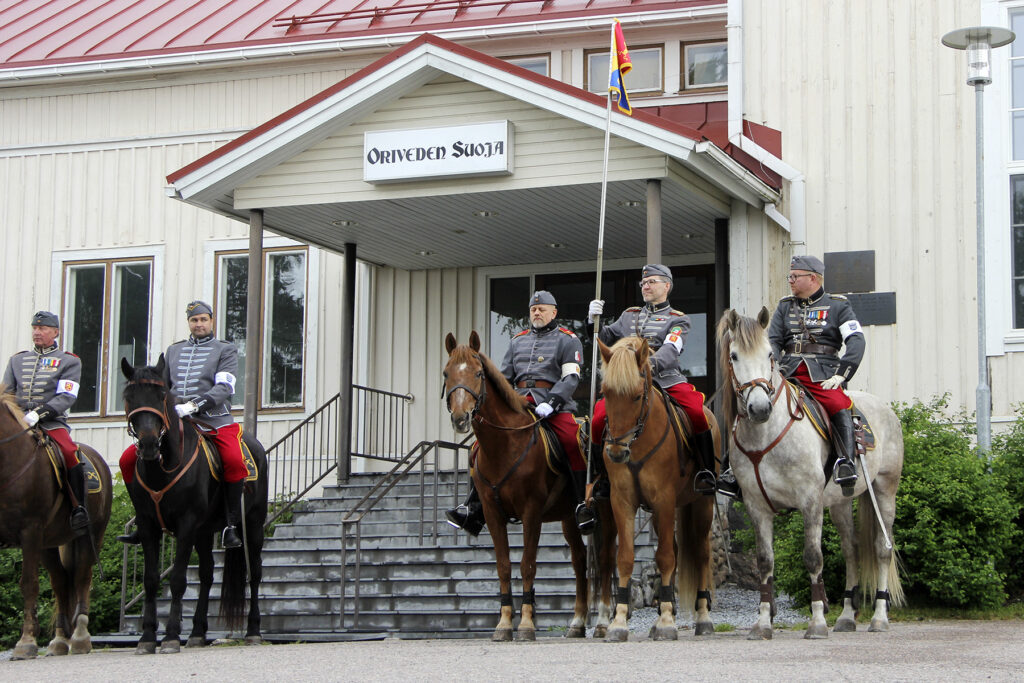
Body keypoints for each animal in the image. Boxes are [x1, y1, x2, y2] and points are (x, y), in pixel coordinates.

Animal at [0, 389, 112, 663]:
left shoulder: (30, 531)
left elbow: (29, 584)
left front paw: (26, 642)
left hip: (90, 535)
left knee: (82, 577)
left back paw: (80, 637)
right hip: (49, 544)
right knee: (60, 583)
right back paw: (60, 640)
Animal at [119, 356, 270, 655]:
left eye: (161, 395)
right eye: (129, 396)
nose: (149, 444)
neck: (163, 467)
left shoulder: (186, 524)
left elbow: (178, 579)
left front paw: (170, 637)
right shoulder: (149, 526)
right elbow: (151, 580)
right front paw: (147, 637)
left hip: (253, 525)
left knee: (255, 573)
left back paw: (253, 630)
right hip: (204, 531)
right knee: (207, 574)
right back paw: (198, 632)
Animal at [598, 335, 716, 643]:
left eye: (636, 396)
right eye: (605, 393)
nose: (616, 453)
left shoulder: (664, 499)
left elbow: (664, 557)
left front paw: (665, 622)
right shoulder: (622, 501)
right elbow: (625, 558)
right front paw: (619, 622)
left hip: (702, 503)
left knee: (701, 552)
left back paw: (702, 617)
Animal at [720, 309, 905, 643]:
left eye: (769, 355)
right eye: (734, 356)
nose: (759, 408)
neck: (765, 435)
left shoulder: (810, 501)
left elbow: (813, 557)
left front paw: (817, 622)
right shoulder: (756, 506)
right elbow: (765, 561)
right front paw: (763, 624)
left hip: (885, 490)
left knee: (882, 549)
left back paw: (879, 618)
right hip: (841, 502)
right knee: (851, 550)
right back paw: (846, 616)